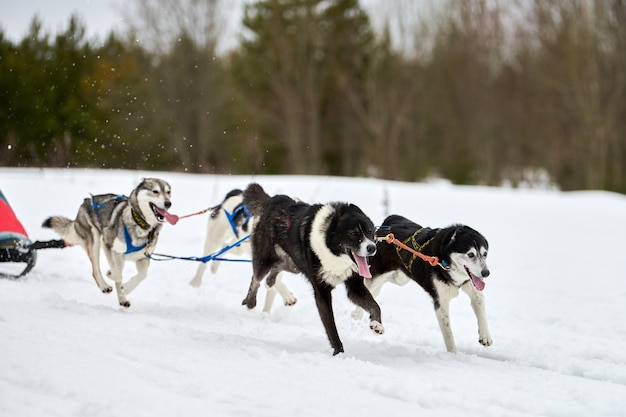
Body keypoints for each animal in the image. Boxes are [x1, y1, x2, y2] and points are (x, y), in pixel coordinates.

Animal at [42, 177, 173, 308]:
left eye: (168, 192)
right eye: (155, 191)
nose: (168, 203)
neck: (141, 224)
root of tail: (87, 200)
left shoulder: (143, 258)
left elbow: (142, 275)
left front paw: (126, 289)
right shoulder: (109, 246)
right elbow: (117, 274)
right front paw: (112, 275)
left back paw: (122, 299)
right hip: (95, 243)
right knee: (95, 271)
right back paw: (104, 286)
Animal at [241, 183, 382, 354]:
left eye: (370, 231)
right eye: (353, 233)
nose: (372, 248)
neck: (333, 252)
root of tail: (272, 200)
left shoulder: (354, 287)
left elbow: (375, 305)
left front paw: (377, 324)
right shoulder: (322, 292)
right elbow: (331, 327)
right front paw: (339, 352)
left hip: (293, 264)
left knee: (275, 270)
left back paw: (272, 282)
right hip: (264, 261)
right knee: (256, 278)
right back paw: (250, 302)